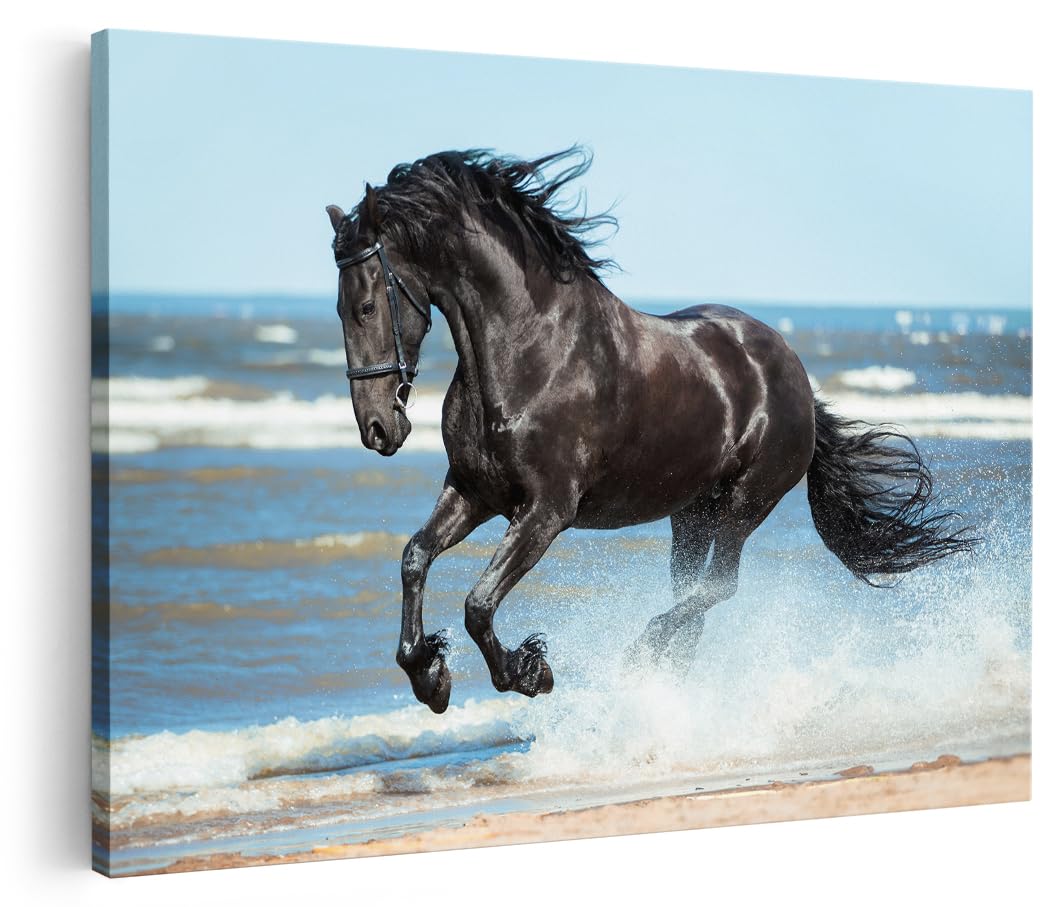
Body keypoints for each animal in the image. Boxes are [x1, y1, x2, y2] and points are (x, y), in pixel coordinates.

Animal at [325, 148, 974, 714]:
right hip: (691, 512)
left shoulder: (546, 511)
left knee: (715, 588)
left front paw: (530, 671)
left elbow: (479, 603)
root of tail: (796, 375)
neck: (529, 350)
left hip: (746, 503)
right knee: (693, 597)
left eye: (366, 307)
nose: (378, 428)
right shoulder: (474, 492)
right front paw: (429, 677)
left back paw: (641, 656)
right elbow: (414, 558)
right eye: (338, 310)